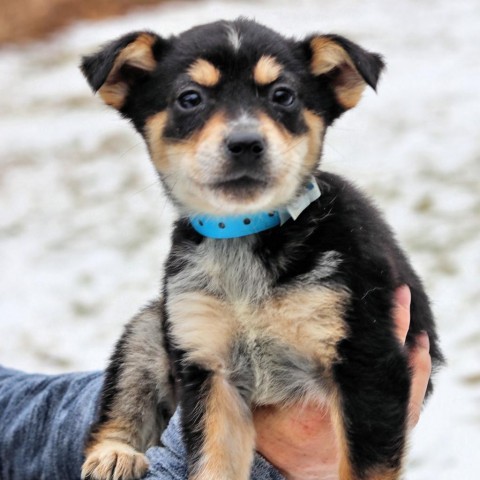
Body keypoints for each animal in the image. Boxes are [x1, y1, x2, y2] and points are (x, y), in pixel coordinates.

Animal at [79, 18, 442, 480]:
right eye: (190, 98)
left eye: (282, 95)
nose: (246, 143)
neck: (246, 235)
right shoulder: (209, 372)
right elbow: (213, 467)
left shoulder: (367, 358)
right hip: (149, 328)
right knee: (127, 391)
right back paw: (115, 453)